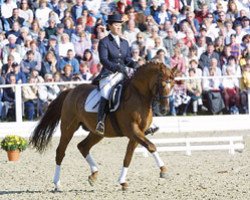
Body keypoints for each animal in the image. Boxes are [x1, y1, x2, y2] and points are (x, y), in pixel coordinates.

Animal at [30, 62, 177, 191]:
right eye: (162, 84)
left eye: (173, 84)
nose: (164, 110)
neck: (139, 96)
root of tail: (71, 91)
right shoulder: (132, 130)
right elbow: (151, 146)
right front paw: (164, 171)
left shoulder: (137, 134)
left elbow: (128, 157)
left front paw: (122, 182)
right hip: (68, 128)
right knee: (61, 152)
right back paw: (57, 184)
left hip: (97, 133)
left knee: (83, 146)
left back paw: (93, 175)